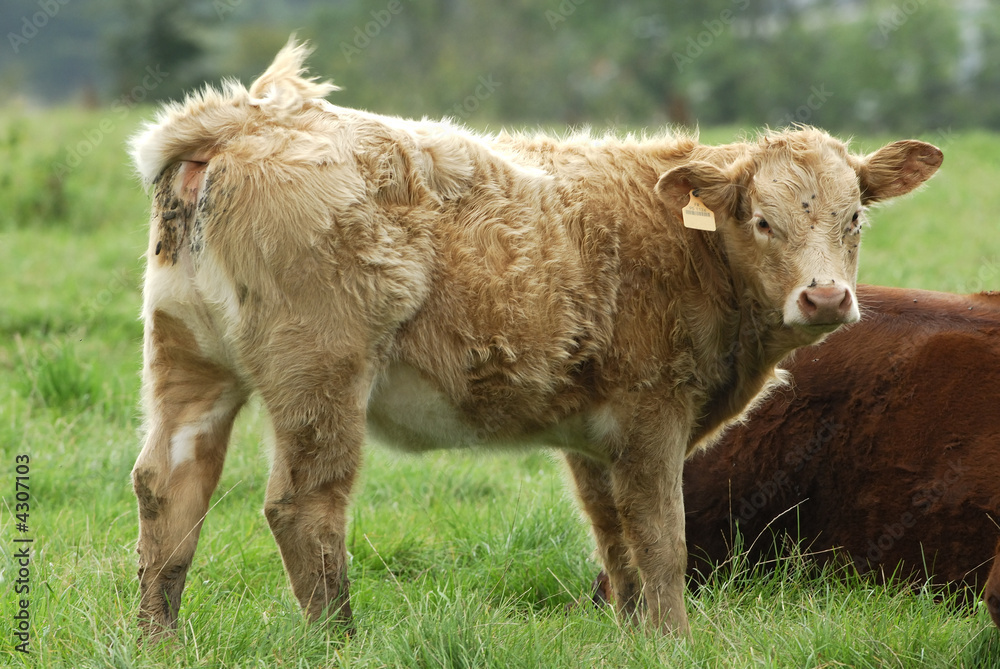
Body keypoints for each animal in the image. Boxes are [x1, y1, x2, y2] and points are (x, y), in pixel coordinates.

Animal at [128, 39, 941, 637]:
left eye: (855, 218)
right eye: (763, 220)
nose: (826, 295)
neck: (690, 251)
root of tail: (247, 117)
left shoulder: (595, 437)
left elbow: (616, 541)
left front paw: (633, 636)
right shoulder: (652, 417)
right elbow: (663, 541)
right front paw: (675, 639)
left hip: (187, 360)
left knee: (168, 488)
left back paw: (158, 638)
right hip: (321, 371)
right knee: (303, 505)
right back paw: (339, 641)